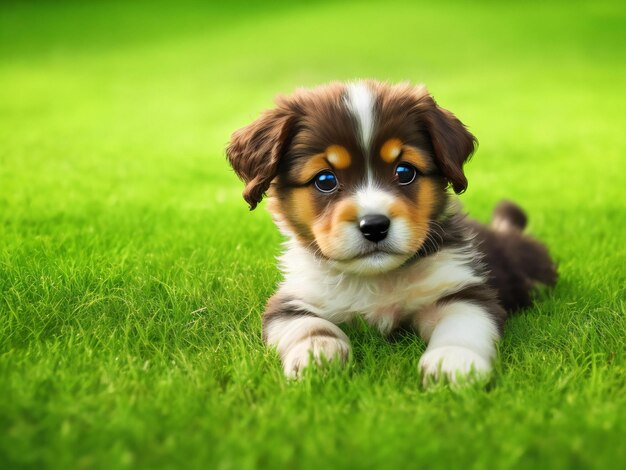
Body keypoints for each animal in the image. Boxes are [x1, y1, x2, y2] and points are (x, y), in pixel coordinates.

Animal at [225, 80, 556, 382]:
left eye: (405, 172)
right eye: (325, 180)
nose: (374, 227)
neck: (376, 281)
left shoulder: (462, 289)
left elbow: (462, 324)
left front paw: (452, 362)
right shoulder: (292, 300)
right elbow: (308, 326)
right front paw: (317, 354)